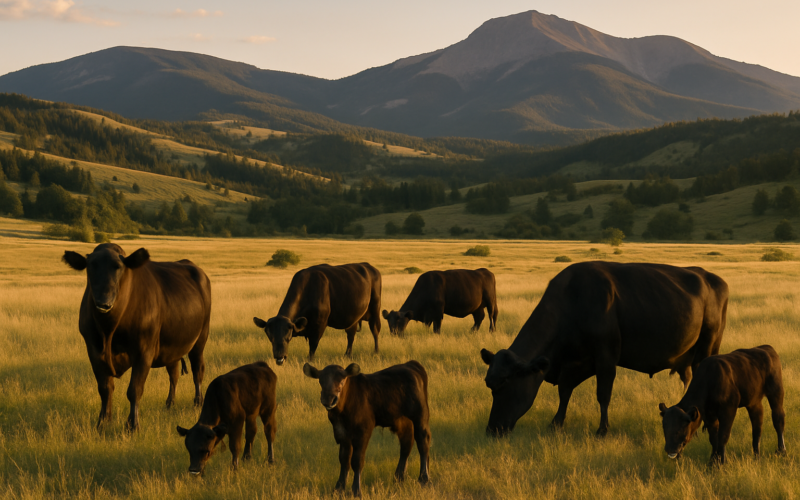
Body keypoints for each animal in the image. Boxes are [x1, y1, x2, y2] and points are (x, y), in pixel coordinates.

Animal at [62, 243, 211, 431]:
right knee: (174, 373)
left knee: (198, 370)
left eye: (118, 267)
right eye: (91, 266)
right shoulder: (94, 351)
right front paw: (103, 422)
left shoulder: (144, 352)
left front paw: (133, 425)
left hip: (200, 339)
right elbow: (105, 389)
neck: (108, 330)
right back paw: (169, 404)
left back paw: (198, 403)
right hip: (173, 347)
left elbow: (134, 390)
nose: (104, 302)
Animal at [253, 263, 381, 365]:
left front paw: (310, 361)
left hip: (375, 309)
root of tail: (369, 266)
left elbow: (313, 346)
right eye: (269, 334)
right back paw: (347, 355)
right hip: (353, 318)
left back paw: (376, 352)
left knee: (375, 330)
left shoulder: (319, 325)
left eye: (288, 333)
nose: (279, 355)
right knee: (351, 335)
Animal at [303, 360, 431, 497]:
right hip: (401, 419)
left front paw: (356, 490)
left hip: (420, 414)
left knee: (423, 442)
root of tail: (411, 364)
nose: (328, 399)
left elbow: (357, 460)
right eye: (321, 381)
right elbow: (344, 460)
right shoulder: (341, 432)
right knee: (406, 443)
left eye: (342, 380)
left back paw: (424, 478)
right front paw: (338, 489)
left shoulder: (363, 430)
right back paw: (399, 478)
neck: (342, 412)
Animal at [480, 261, 728, 437]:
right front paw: (556, 423)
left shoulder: (606, 358)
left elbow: (603, 394)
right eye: (489, 385)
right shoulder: (573, 362)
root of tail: (714, 279)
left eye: (505, 383)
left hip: (707, 348)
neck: (573, 300)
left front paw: (602, 429)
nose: (492, 429)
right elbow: (565, 391)